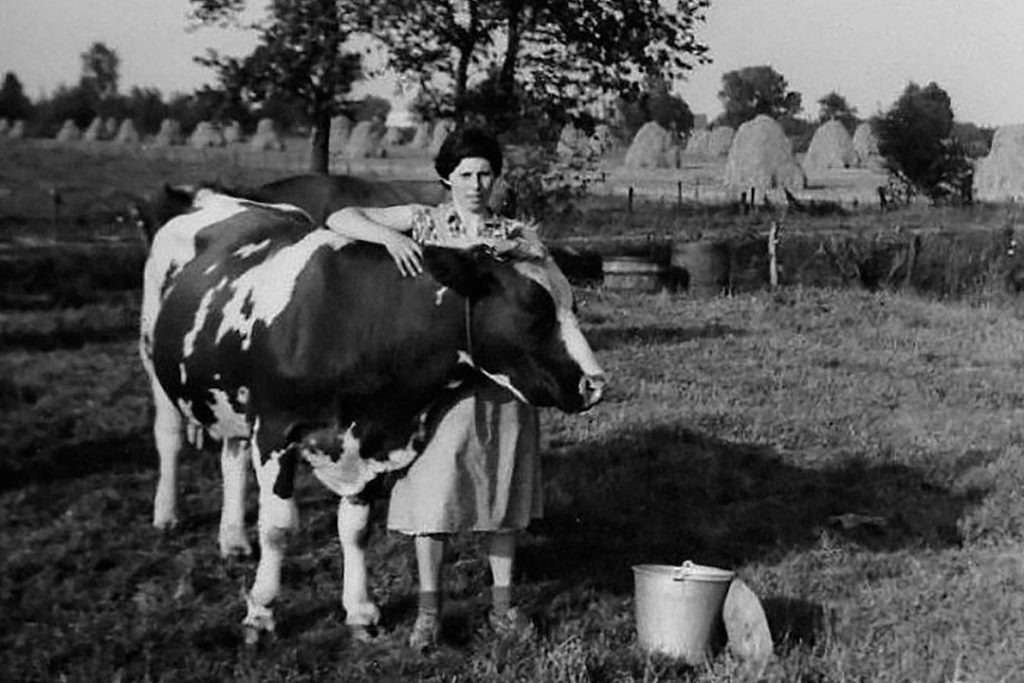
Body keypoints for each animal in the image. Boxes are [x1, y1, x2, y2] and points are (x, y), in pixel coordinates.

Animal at [142, 189, 606, 643]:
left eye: (574, 306)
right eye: (533, 310)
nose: (596, 383)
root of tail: (210, 197)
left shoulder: (369, 442)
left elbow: (355, 528)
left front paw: (361, 611)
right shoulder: (275, 430)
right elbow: (277, 527)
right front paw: (261, 611)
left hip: (231, 399)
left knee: (232, 456)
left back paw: (234, 539)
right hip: (155, 363)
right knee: (168, 439)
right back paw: (167, 515)